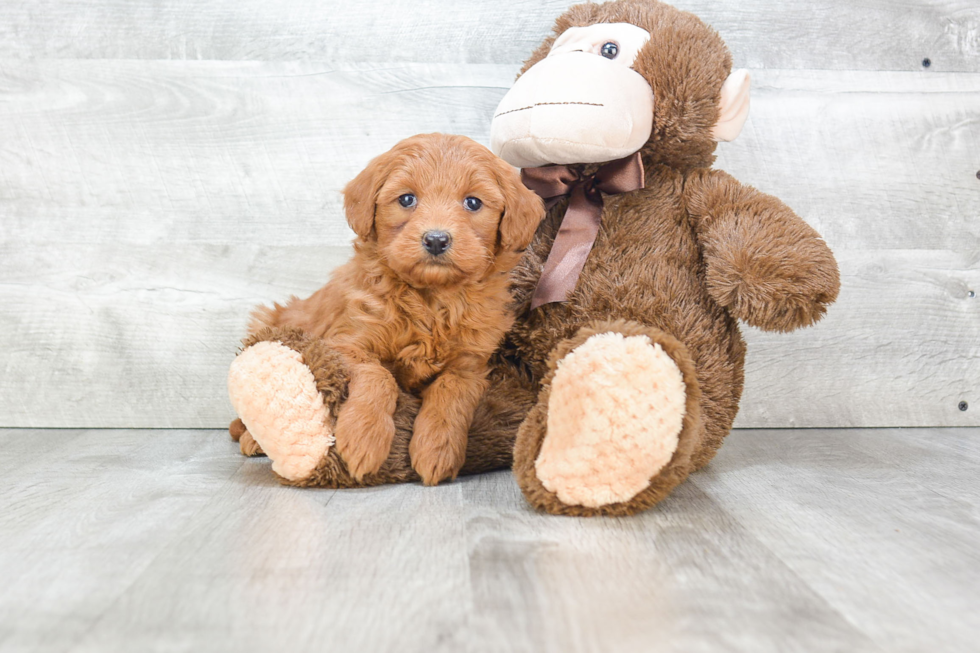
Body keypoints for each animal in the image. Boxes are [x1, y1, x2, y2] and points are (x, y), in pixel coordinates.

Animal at [249, 134, 544, 484]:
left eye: (473, 203)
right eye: (406, 199)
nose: (436, 239)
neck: (432, 301)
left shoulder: (471, 364)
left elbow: (451, 390)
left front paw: (437, 449)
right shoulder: (344, 343)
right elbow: (378, 374)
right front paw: (363, 437)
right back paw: (248, 438)